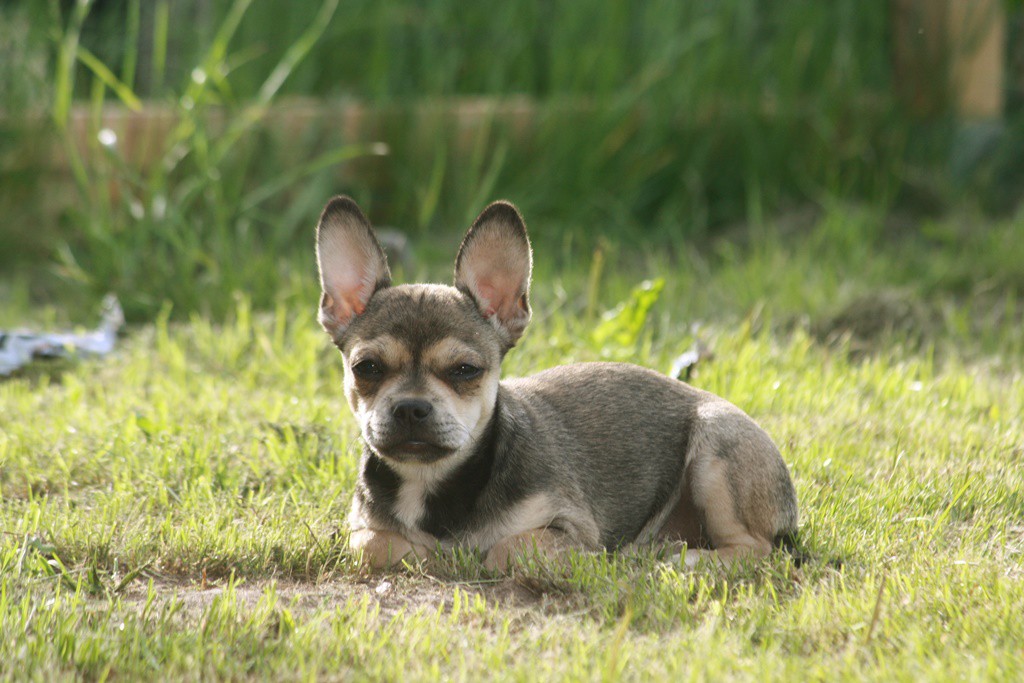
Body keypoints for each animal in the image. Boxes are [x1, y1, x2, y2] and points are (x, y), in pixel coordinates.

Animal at [313, 196, 798, 573]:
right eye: (367, 368)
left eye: (465, 370)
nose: (411, 407)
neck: (431, 481)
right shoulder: (362, 528)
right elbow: (374, 544)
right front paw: (423, 553)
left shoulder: (570, 529)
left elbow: (507, 549)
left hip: (717, 447)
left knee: (758, 549)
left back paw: (679, 557)